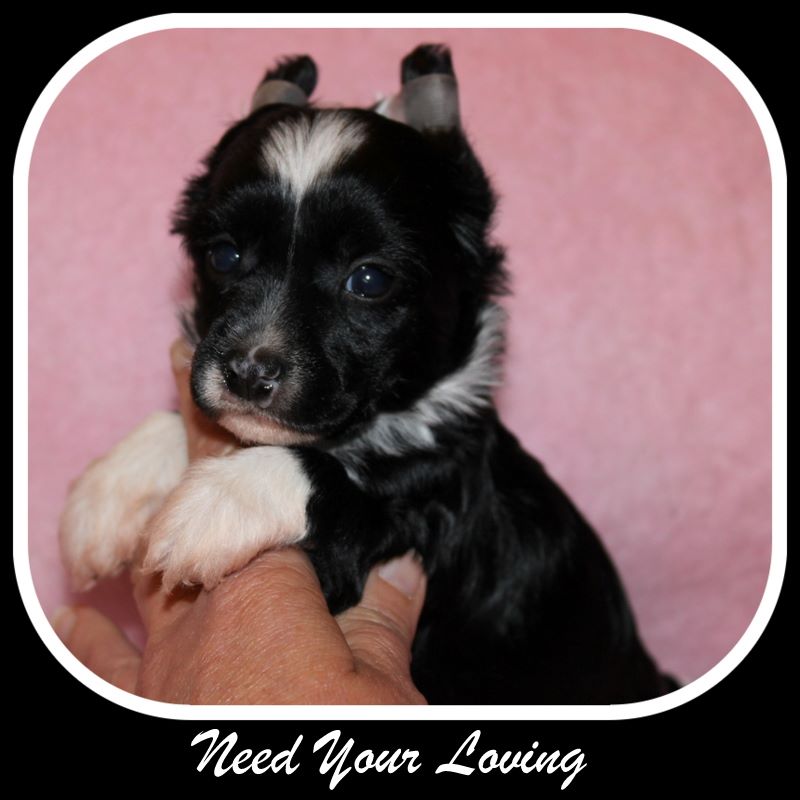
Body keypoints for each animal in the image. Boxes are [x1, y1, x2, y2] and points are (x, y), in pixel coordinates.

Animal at [60, 44, 676, 703]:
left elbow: (341, 485)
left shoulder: (424, 522)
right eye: (224, 255)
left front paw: (219, 500)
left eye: (370, 280)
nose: (249, 371)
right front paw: (109, 491)